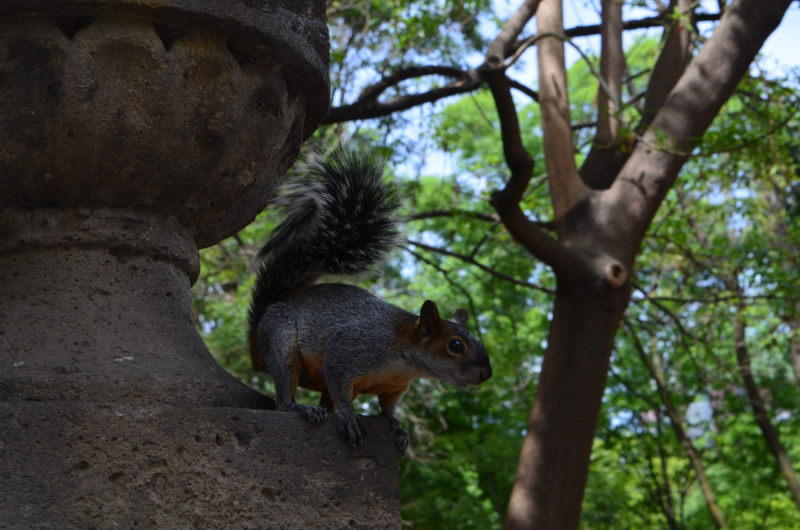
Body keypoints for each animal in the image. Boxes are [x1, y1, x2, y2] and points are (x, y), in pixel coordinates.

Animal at [247, 146, 490, 452]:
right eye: (455, 345)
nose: (486, 374)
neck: (405, 359)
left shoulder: (395, 387)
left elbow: (387, 408)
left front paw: (396, 425)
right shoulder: (348, 351)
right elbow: (341, 384)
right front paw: (350, 417)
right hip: (281, 340)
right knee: (285, 394)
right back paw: (301, 408)